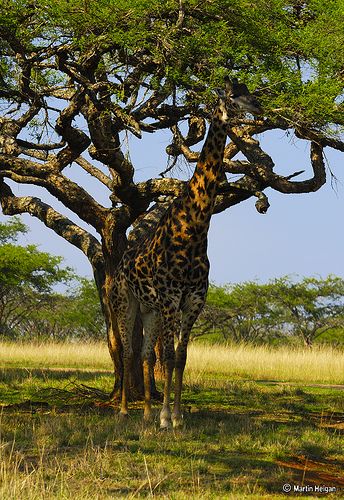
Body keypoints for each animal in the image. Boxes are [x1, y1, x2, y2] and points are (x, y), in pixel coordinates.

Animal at [111, 78, 262, 430]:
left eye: (249, 90)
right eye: (232, 96)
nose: (258, 107)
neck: (195, 230)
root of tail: (122, 260)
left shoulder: (193, 301)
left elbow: (180, 357)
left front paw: (177, 417)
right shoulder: (170, 300)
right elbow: (168, 357)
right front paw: (166, 418)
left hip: (151, 309)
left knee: (145, 354)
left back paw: (146, 413)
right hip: (127, 301)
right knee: (127, 352)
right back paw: (124, 412)